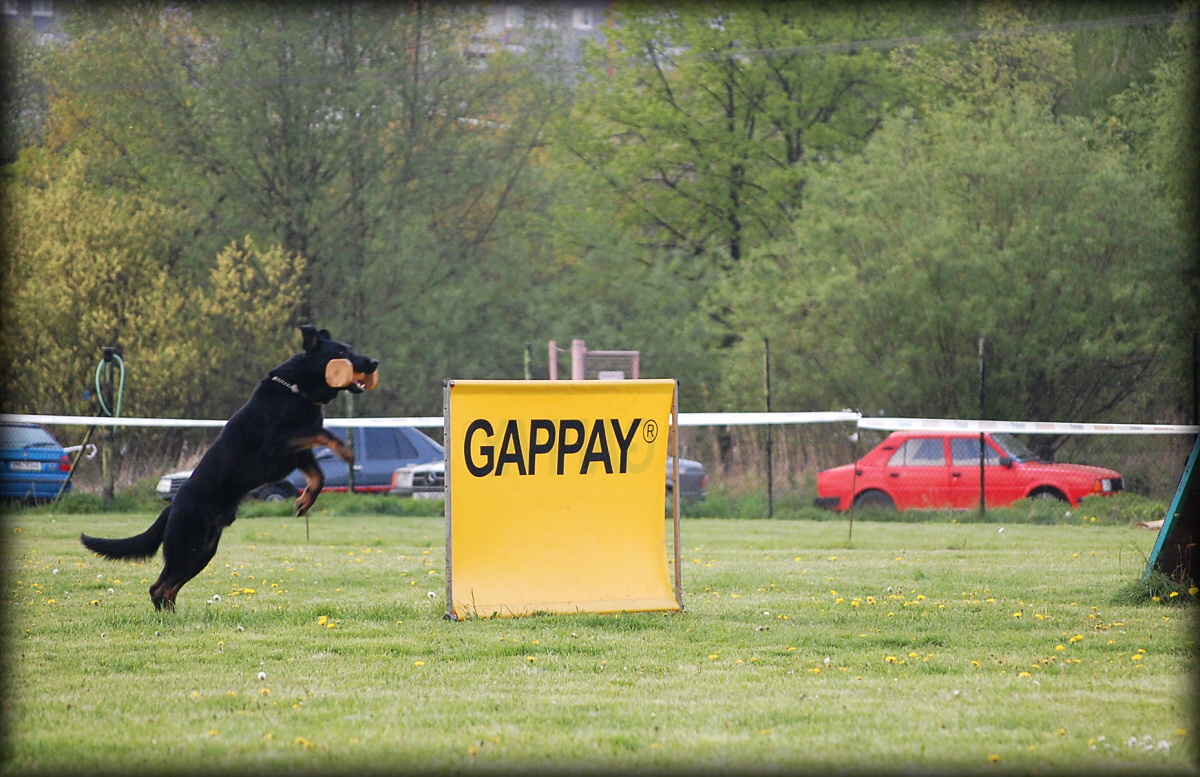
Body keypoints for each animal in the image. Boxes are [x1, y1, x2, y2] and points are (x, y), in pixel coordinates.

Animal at [79, 323, 376, 609]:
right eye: (342, 352)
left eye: (351, 349)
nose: (374, 362)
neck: (296, 389)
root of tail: (172, 506)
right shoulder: (280, 442)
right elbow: (323, 434)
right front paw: (347, 451)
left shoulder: (299, 455)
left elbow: (319, 476)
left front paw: (304, 502)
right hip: (189, 546)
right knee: (159, 587)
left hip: (203, 551)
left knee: (166, 588)